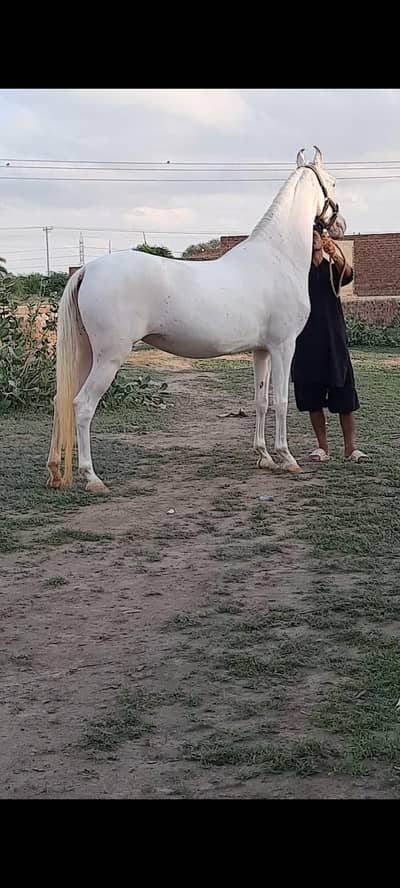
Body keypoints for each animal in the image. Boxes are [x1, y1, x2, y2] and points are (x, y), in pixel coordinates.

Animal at [47, 146, 346, 493]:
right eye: (333, 182)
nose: (341, 226)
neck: (277, 256)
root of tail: (87, 269)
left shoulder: (261, 350)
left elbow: (260, 400)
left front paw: (264, 456)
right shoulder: (283, 347)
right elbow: (282, 401)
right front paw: (287, 458)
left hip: (84, 354)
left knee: (61, 400)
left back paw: (55, 472)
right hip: (109, 358)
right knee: (82, 405)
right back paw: (91, 477)